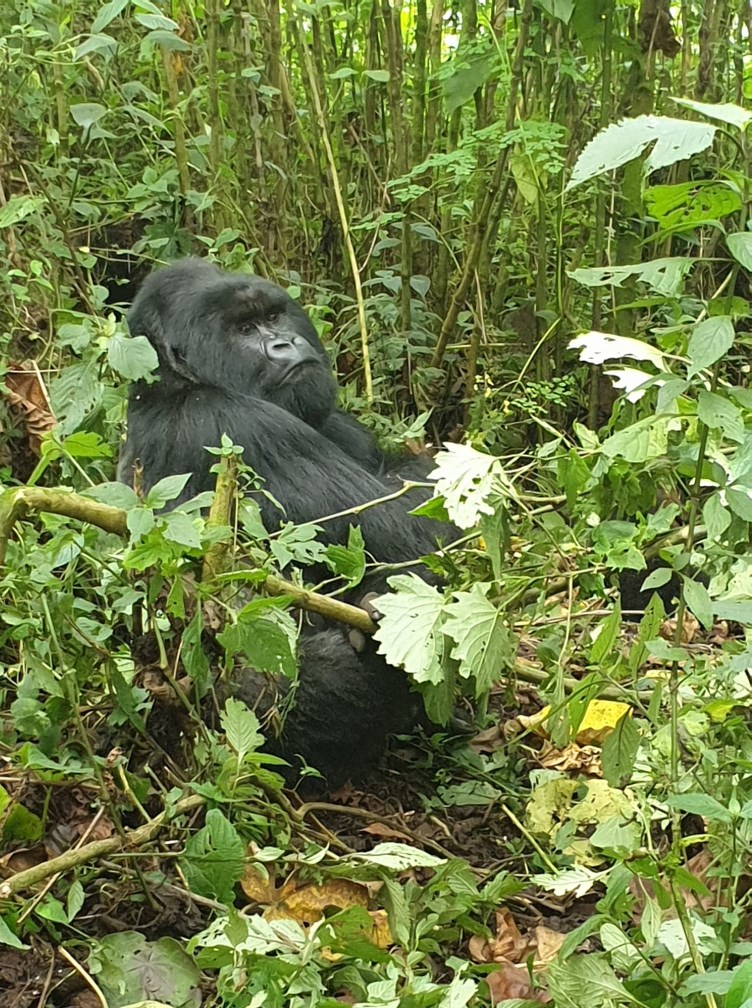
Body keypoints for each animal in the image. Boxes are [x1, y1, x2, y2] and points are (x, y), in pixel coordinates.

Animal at [118, 258, 451, 786]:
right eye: (243, 330)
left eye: (274, 316)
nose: (284, 343)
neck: (169, 382)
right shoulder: (232, 424)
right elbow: (413, 535)